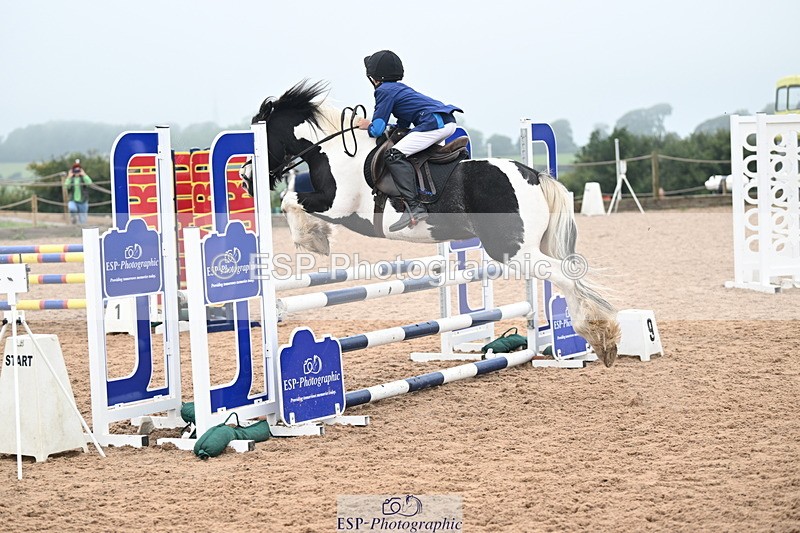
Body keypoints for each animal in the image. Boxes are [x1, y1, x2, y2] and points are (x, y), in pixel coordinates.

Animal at [241, 81, 621, 366]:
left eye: (261, 135)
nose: (246, 177)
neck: (335, 150)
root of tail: (533, 174)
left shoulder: (339, 206)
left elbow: (289, 200)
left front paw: (313, 240)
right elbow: (291, 200)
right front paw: (316, 237)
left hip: (512, 250)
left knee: (564, 276)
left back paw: (600, 335)